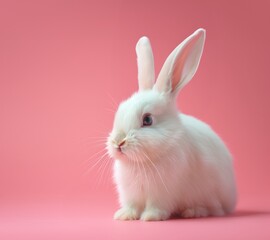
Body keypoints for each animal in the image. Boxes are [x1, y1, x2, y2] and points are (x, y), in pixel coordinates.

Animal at [106, 28, 236, 221]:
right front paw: (124, 215)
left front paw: (150, 217)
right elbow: (132, 205)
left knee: (215, 209)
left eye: (147, 120)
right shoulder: (131, 194)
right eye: (120, 111)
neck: (142, 162)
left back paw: (193, 211)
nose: (118, 142)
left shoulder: (162, 192)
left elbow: (156, 205)